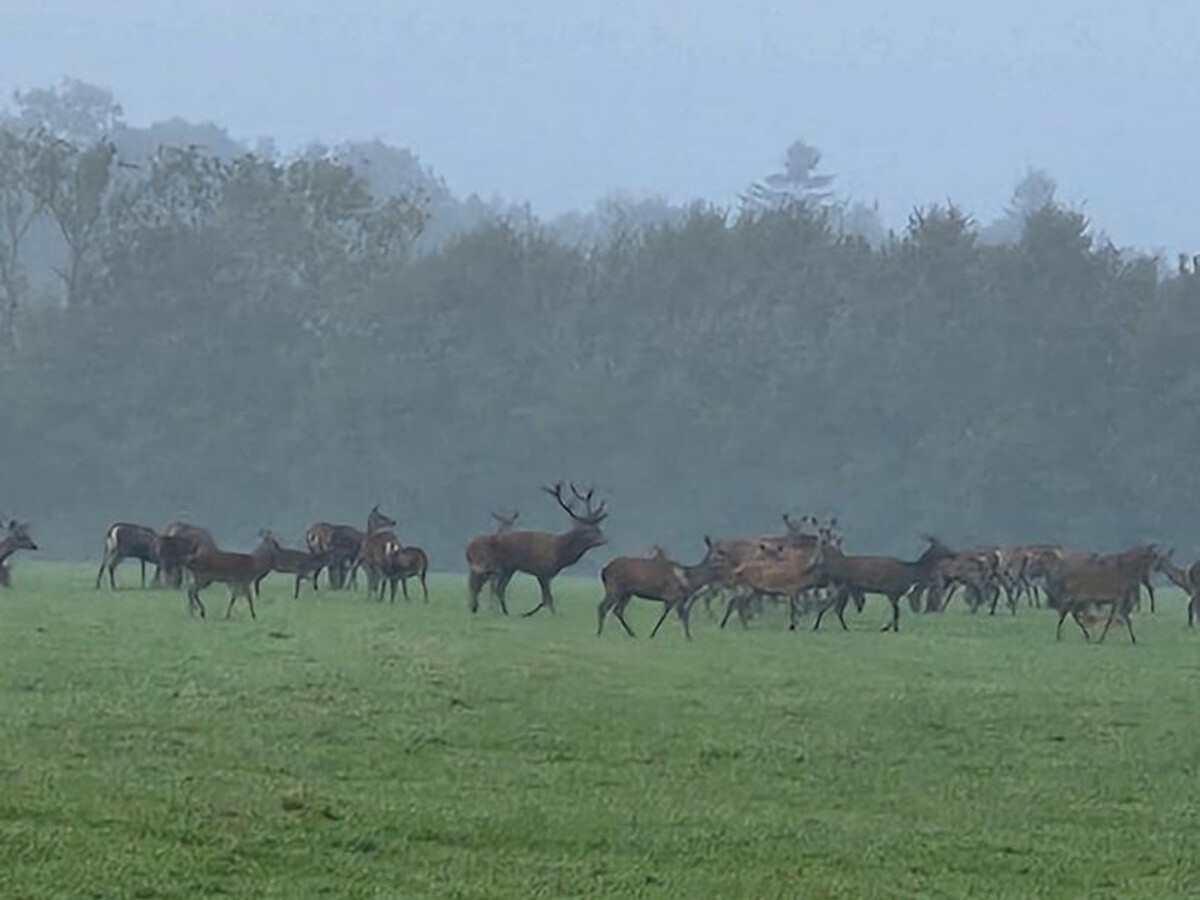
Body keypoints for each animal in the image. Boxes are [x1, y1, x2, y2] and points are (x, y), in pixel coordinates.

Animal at [465, 482, 607, 616]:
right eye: (588, 531)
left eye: (599, 529)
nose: (603, 540)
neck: (559, 554)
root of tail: (469, 546)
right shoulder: (542, 571)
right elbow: (548, 598)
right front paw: (547, 615)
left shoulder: (546, 574)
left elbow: (546, 598)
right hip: (487, 563)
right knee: (478, 584)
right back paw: (477, 608)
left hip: (507, 569)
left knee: (497, 589)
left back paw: (503, 612)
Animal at [809, 534, 954, 632]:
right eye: (943, 547)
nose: (953, 553)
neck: (910, 573)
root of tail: (832, 566)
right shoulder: (892, 591)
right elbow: (897, 611)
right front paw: (890, 628)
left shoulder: (896, 594)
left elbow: (896, 611)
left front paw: (889, 627)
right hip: (840, 585)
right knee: (833, 607)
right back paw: (820, 626)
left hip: (842, 588)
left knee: (834, 607)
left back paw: (835, 627)